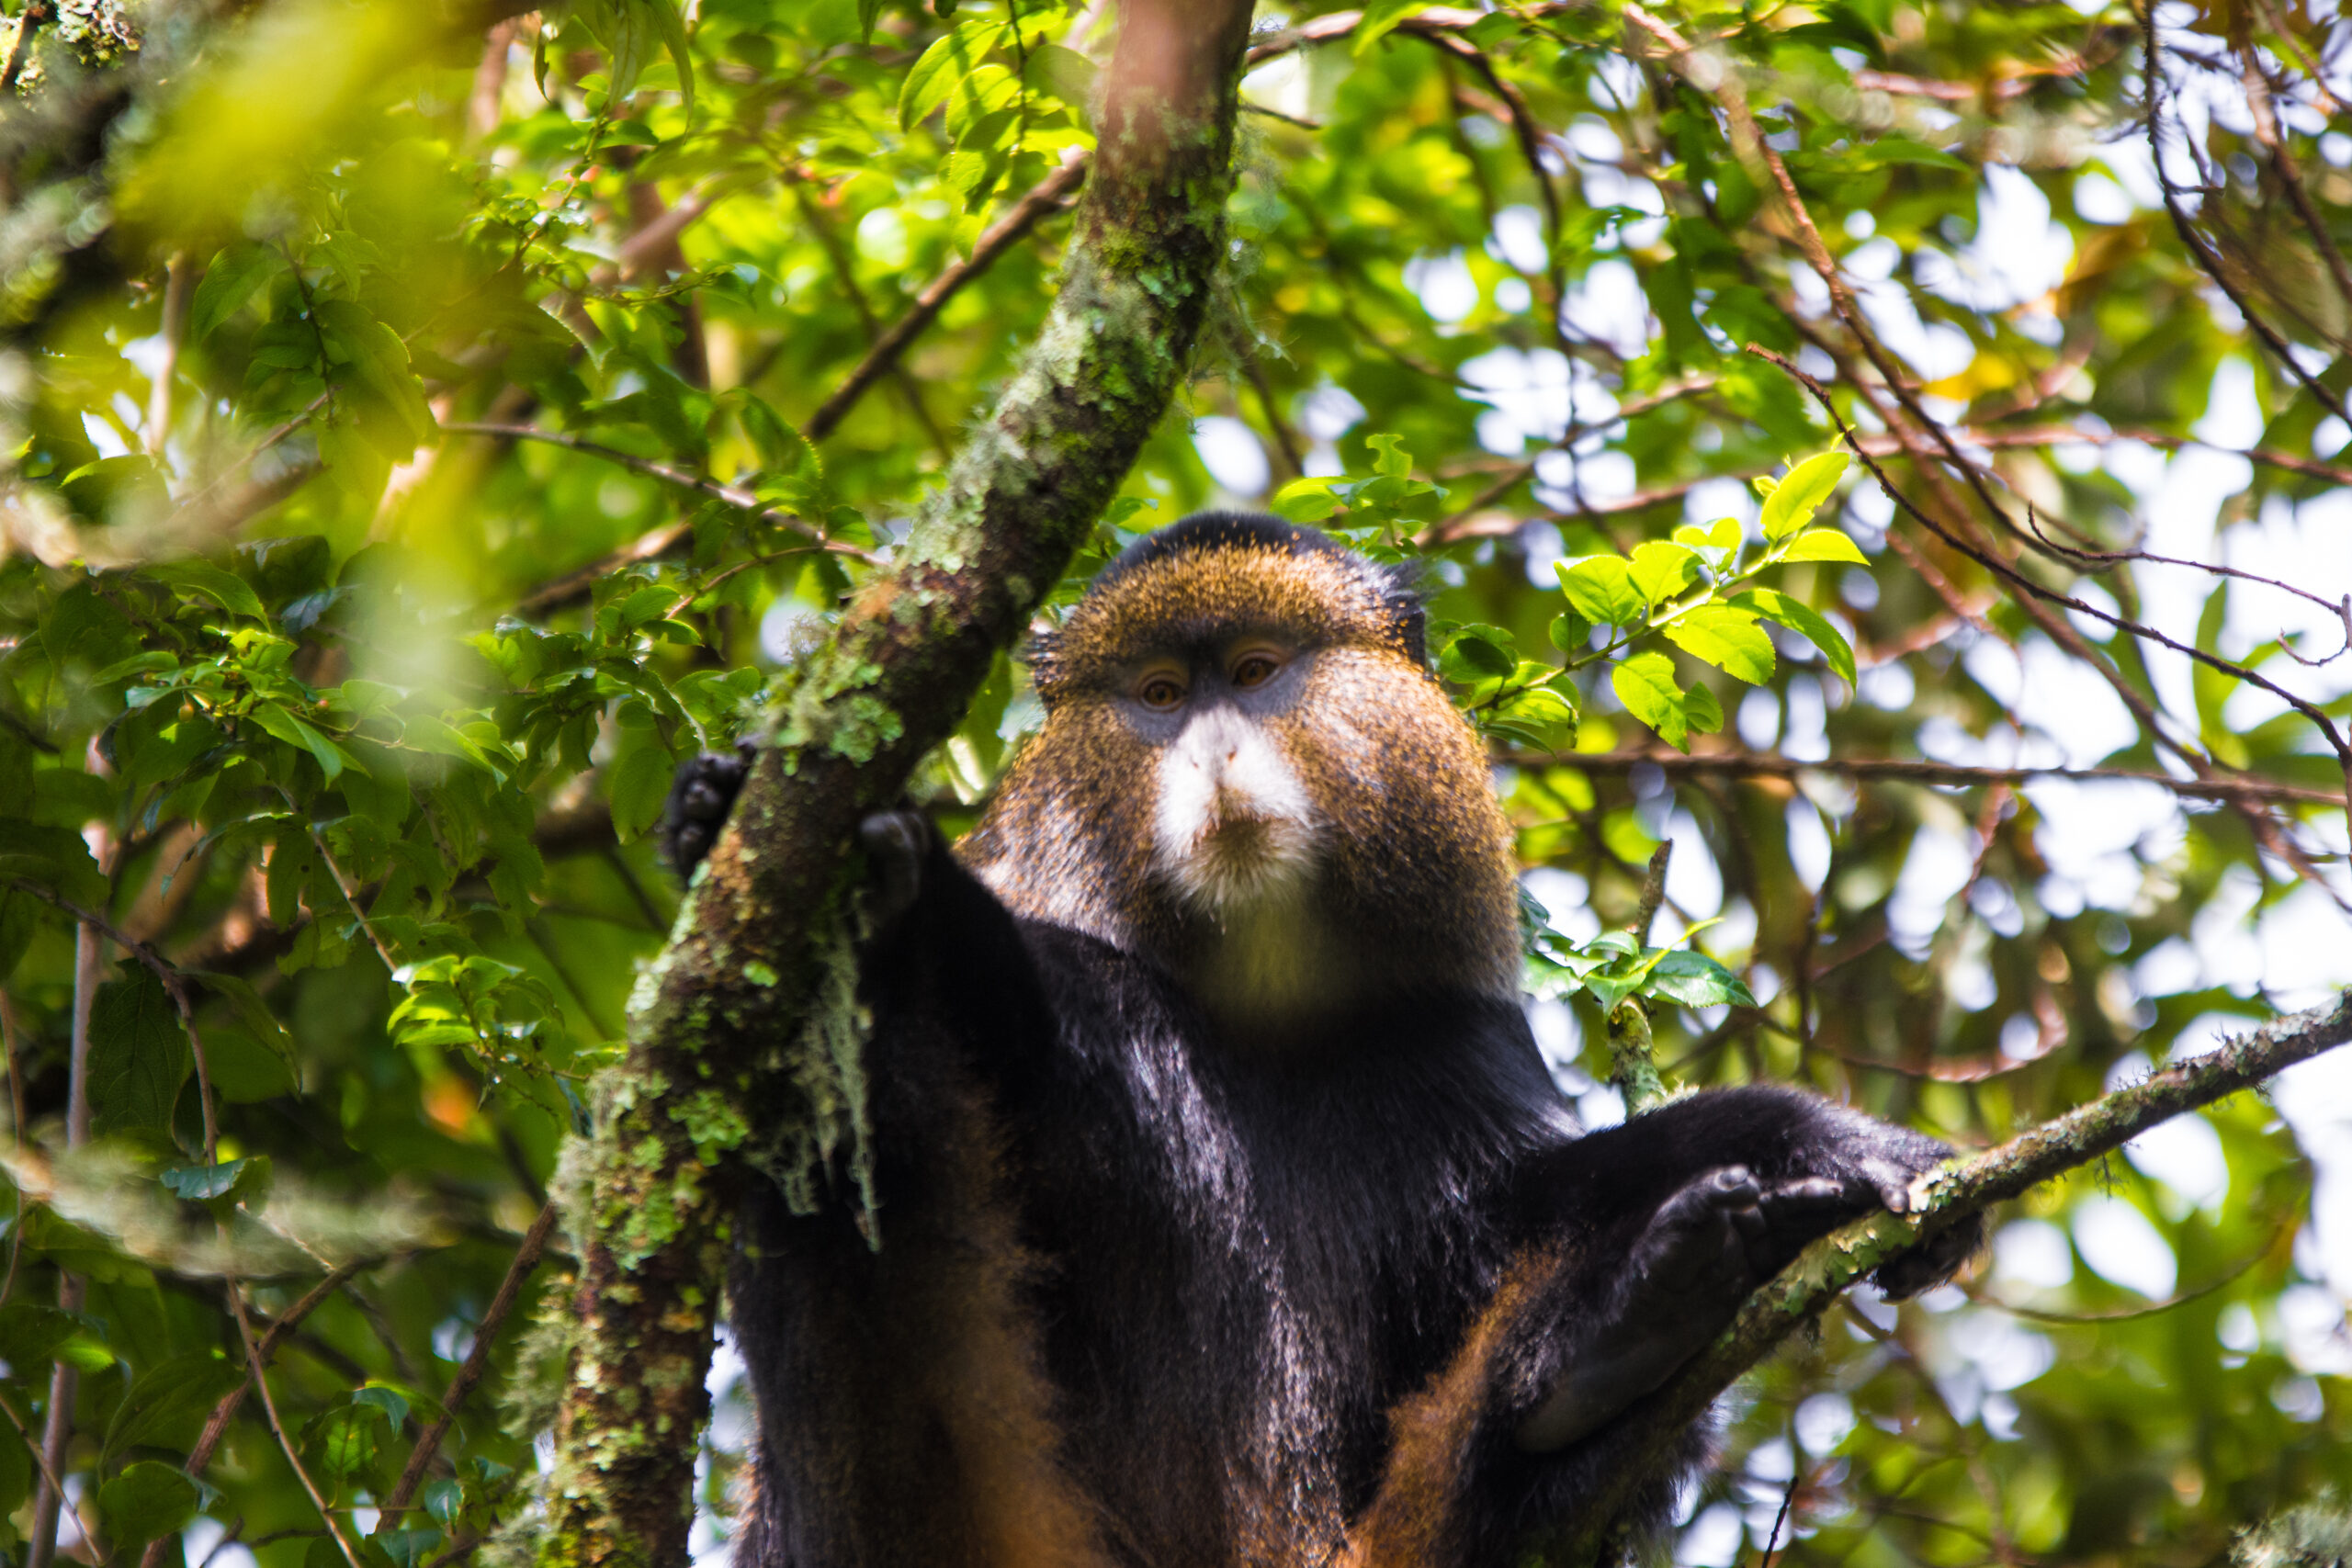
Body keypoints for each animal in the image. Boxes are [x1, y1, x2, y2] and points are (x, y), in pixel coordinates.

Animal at [664, 511, 1979, 1568]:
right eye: (1158, 696)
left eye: (1255, 673)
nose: (1215, 753)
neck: (1270, 1007)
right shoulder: (1084, 1004)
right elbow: (984, 1002)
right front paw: (842, 871)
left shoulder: (1452, 1039)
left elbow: (1528, 1203)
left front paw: (1832, 1140)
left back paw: (1601, 1352)